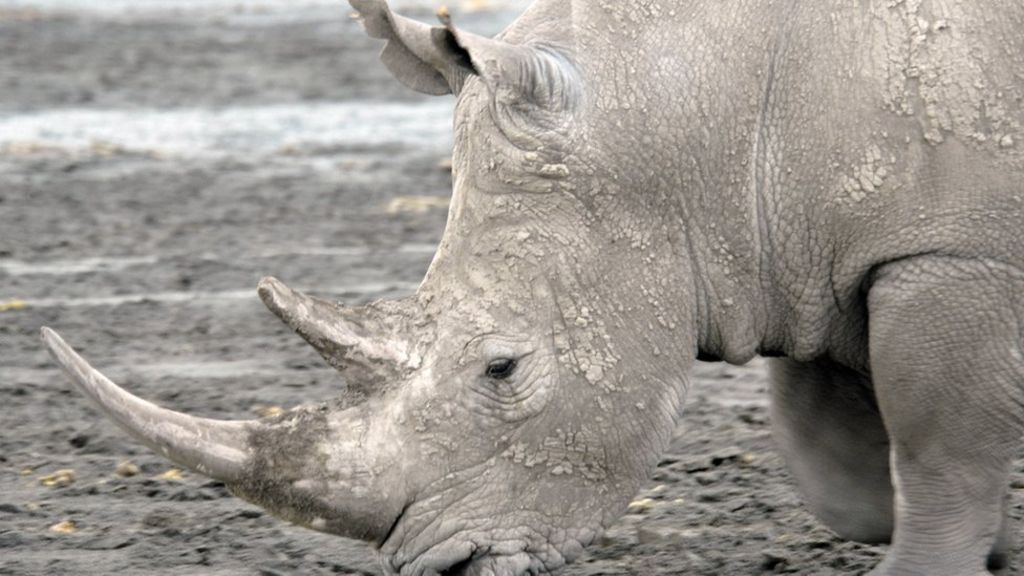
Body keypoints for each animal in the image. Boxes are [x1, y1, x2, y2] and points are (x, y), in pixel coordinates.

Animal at [41, 0, 1024, 574]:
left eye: (503, 368)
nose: (439, 567)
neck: (710, 118)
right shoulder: (814, 257)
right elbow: (847, 475)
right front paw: (1005, 539)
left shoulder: (953, 254)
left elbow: (936, 454)